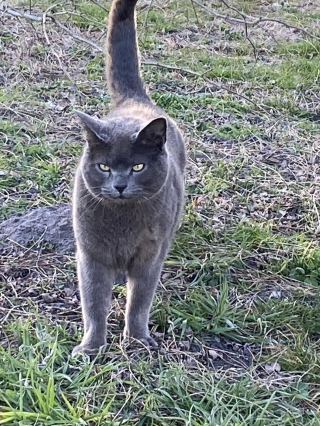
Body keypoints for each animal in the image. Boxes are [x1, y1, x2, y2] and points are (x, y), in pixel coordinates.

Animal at [71, 0, 186, 356]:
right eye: (104, 167)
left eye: (137, 167)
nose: (119, 185)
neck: (122, 223)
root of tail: (137, 101)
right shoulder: (91, 254)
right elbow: (94, 304)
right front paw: (91, 347)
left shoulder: (150, 254)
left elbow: (140, 300)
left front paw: (137, 339)